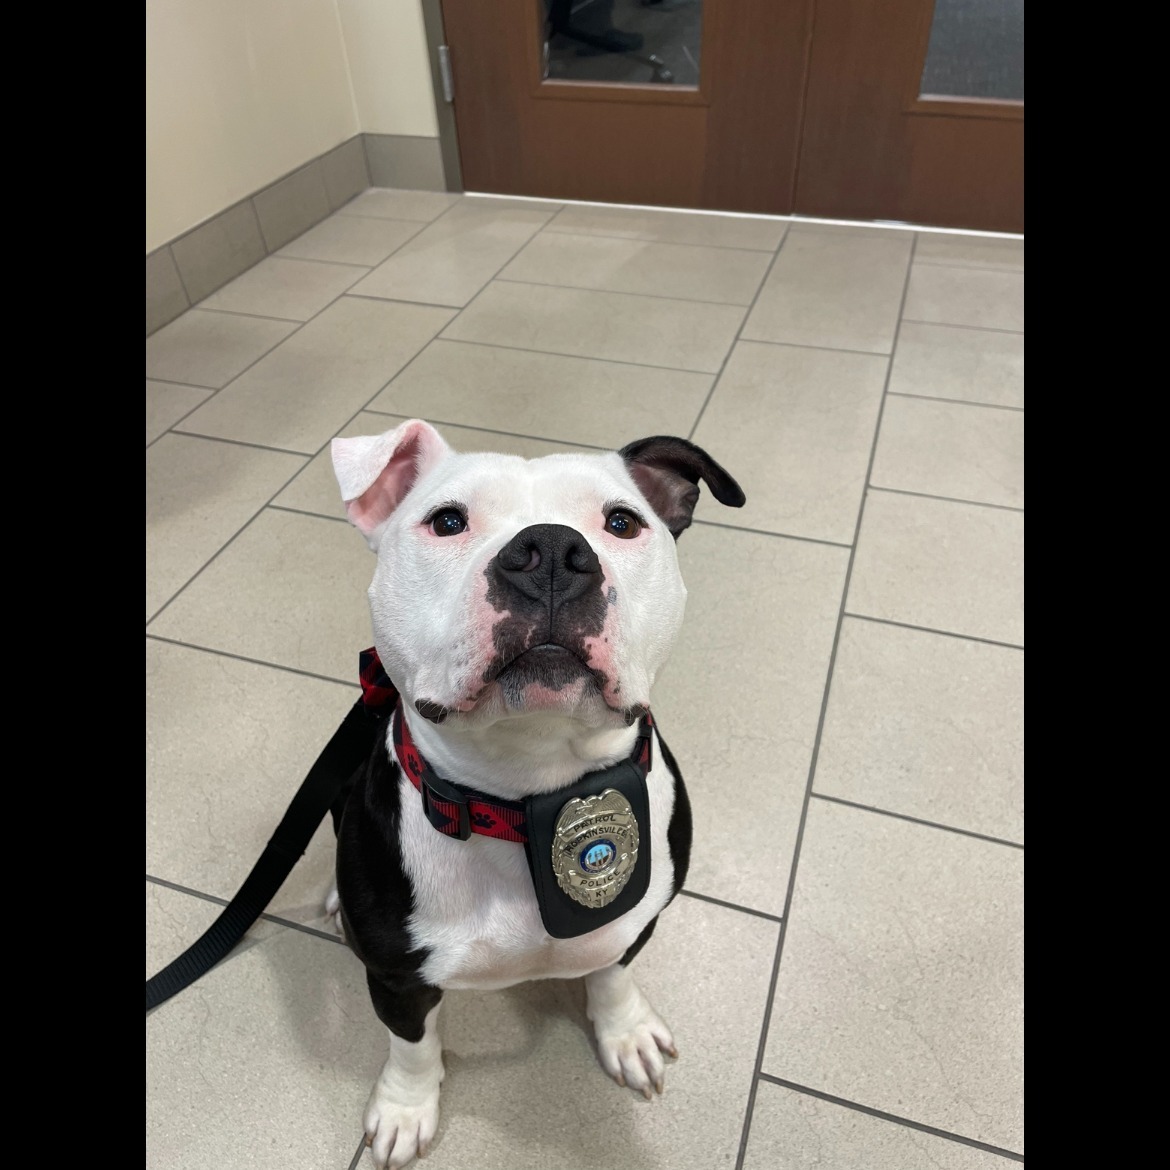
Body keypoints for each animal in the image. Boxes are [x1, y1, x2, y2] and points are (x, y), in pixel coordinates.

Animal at [325, 418, 744, 1160]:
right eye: (448, 521)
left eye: (622, 522)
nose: (549, 551)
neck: (525, 798)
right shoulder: (397, 978)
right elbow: (412, 1047)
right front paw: (405, 1108)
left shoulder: (637, 918)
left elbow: (612, 973)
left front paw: (625, 1032)